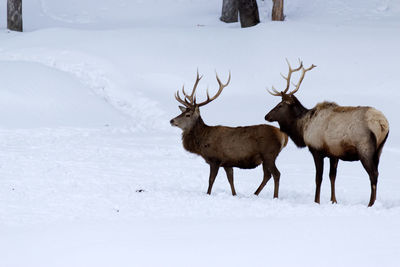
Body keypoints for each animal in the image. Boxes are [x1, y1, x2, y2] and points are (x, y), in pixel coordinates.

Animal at [170, 71, 288, 199]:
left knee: (276, 174)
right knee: (267, 175)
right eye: (182, 112)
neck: (202, 141)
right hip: (266, 158)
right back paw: (255, 194)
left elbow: (211, 180)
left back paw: (275, 197)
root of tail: (283, 136)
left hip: (269, 154)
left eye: (188, 115)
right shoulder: (227, 162)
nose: (171, 121)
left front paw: (208, 194)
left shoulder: (215, 159)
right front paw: (234, 194)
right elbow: (231, 179)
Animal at [264, 60, 390, 207]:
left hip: (365, 149)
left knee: (373, 174)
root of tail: (383, 124)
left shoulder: (316, 150)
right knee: (376, 173)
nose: (266, 116)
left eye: (280, 105)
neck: (303, 127)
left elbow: (318, 178)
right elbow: (332, 176)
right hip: (379, 150)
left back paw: (370, 204)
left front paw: (316, 201)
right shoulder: (333, 154)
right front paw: (333, 200)